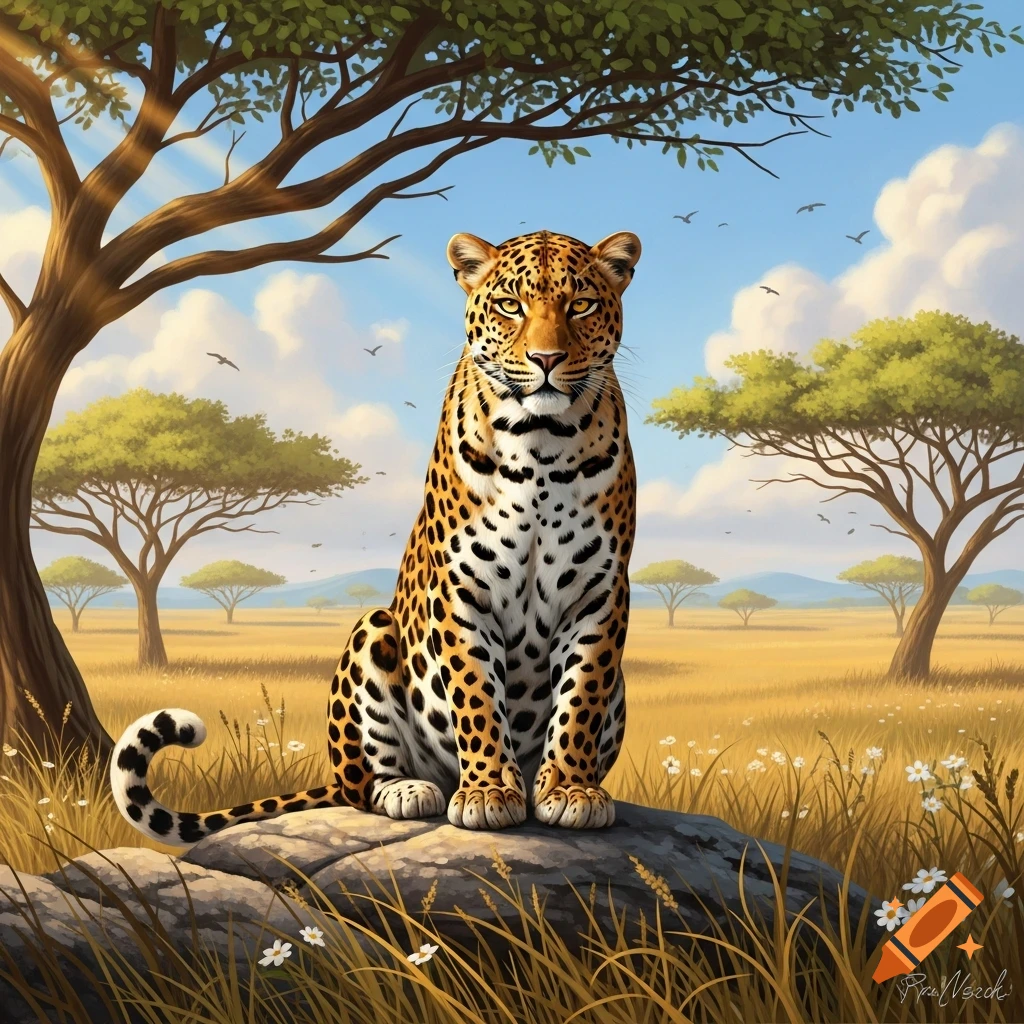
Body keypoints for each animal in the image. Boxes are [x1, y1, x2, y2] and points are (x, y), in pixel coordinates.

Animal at [110, 228, 640, 843]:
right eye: (511, 305)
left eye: (582, 305)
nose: (547, 359)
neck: (541, 444)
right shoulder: (459, 585)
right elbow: (477, 695)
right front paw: (487, 791)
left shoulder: (600, 591)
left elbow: (580, 697)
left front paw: (571, 790)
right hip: (373, 631)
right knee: (361, 783)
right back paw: (413, 789)